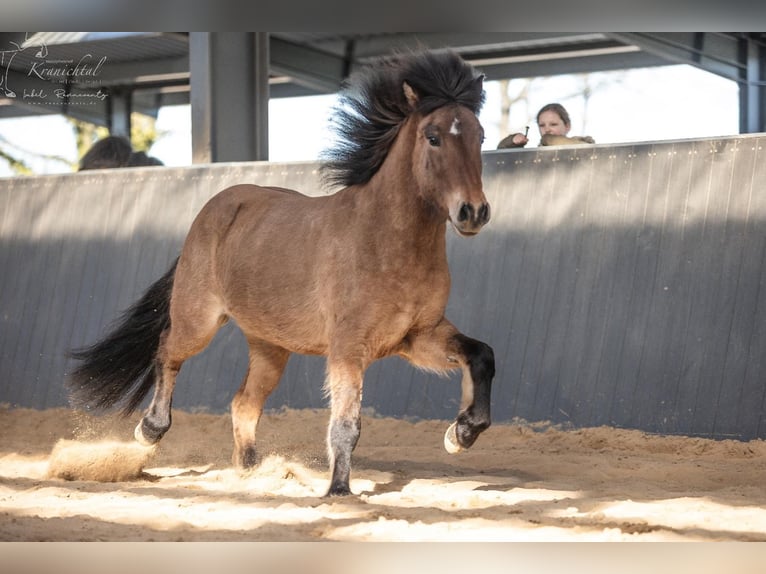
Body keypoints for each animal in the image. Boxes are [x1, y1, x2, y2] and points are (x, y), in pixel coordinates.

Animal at [67, 49, 495, 497]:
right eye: (433, 136)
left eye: (480, 136)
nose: (473, 212)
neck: (386, 243)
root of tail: (215, 210)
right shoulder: (348, 347)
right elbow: (346, 424)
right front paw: (339, 491)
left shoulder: (417, 336)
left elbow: (482, 355)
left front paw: (461, 433)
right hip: (198, 321)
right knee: (168, 350)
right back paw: (149, 430)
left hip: (270, 347)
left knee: (243, 403)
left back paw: (248, 471)